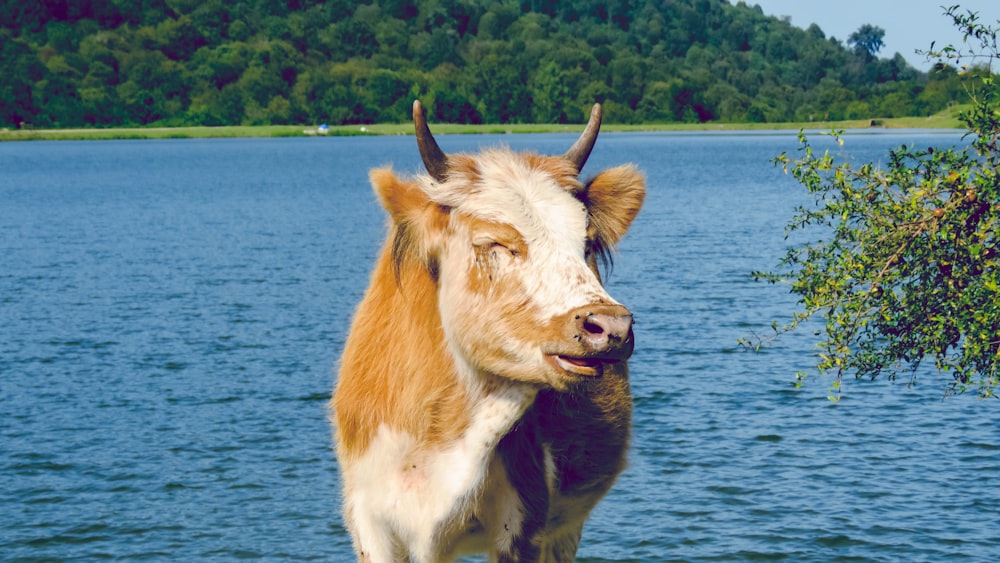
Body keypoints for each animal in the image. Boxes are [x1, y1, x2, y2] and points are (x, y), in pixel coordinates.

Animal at [332, 101, 644, 563]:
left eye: (587, 244)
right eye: (493, 243)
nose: (611, 326)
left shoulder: (524, 521)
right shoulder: (369, 520)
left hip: (566, 529)